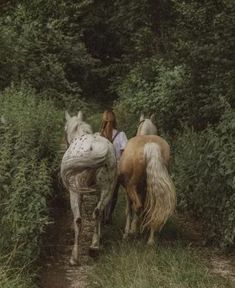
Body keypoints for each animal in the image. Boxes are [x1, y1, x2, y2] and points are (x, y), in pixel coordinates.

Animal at [60, 111, 116, 266]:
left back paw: (74, 257)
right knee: (97, 212)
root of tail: (93, 146)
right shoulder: (97, 192)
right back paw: (94, 247)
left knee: (78, 219)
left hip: (75, 191)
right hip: (107, 189)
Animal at [119, 113, 176, 244]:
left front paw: (127, 232)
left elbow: (129, 210)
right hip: (153, 188)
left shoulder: (127, 189)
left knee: (137, 206)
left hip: (131, 186)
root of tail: (150, 146)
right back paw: (150, 239)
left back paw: (134, 232)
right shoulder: (144, 189)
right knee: (154, 208)